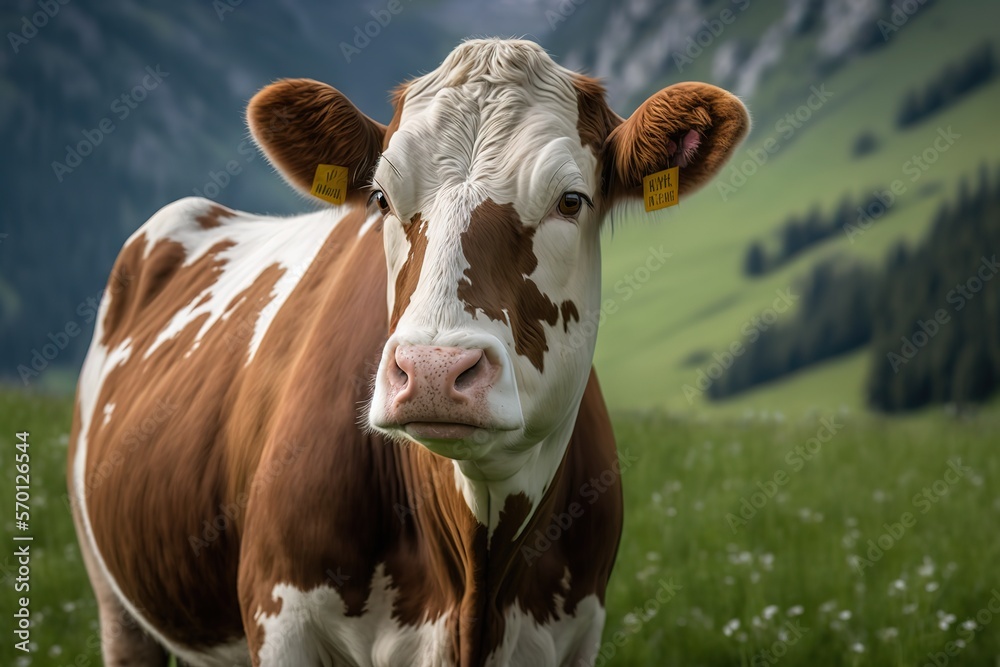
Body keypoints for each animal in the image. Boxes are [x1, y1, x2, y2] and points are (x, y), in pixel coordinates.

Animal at [66, 37, 748, 667]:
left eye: (571, 200)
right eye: (381, 199)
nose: (434, 371)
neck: (474, 582)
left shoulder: (577, 631)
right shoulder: (279, 617)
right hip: (112, 593)